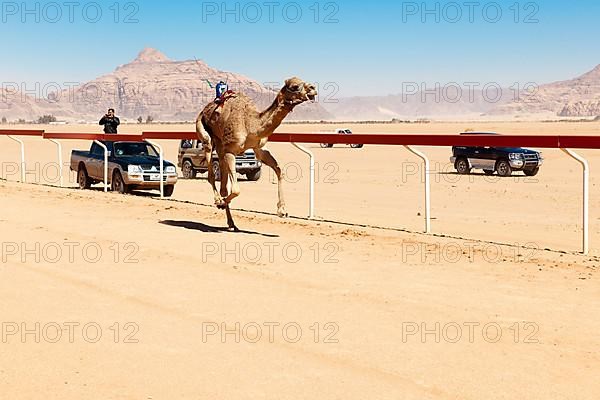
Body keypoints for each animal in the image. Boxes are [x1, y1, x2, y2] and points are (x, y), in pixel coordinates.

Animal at [196, 77, 318, 231]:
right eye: (295, 86)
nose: (313, 89)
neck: (251, 124)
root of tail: (205, 109)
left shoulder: (258, 148)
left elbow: (279, 170)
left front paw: (282, 210)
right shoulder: (230, 150)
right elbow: (236, 189)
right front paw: (221, 203)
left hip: (220, 147)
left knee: (223, 185)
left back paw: (231, 223)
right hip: (204, 133)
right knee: (211, 173)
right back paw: (219, 201)